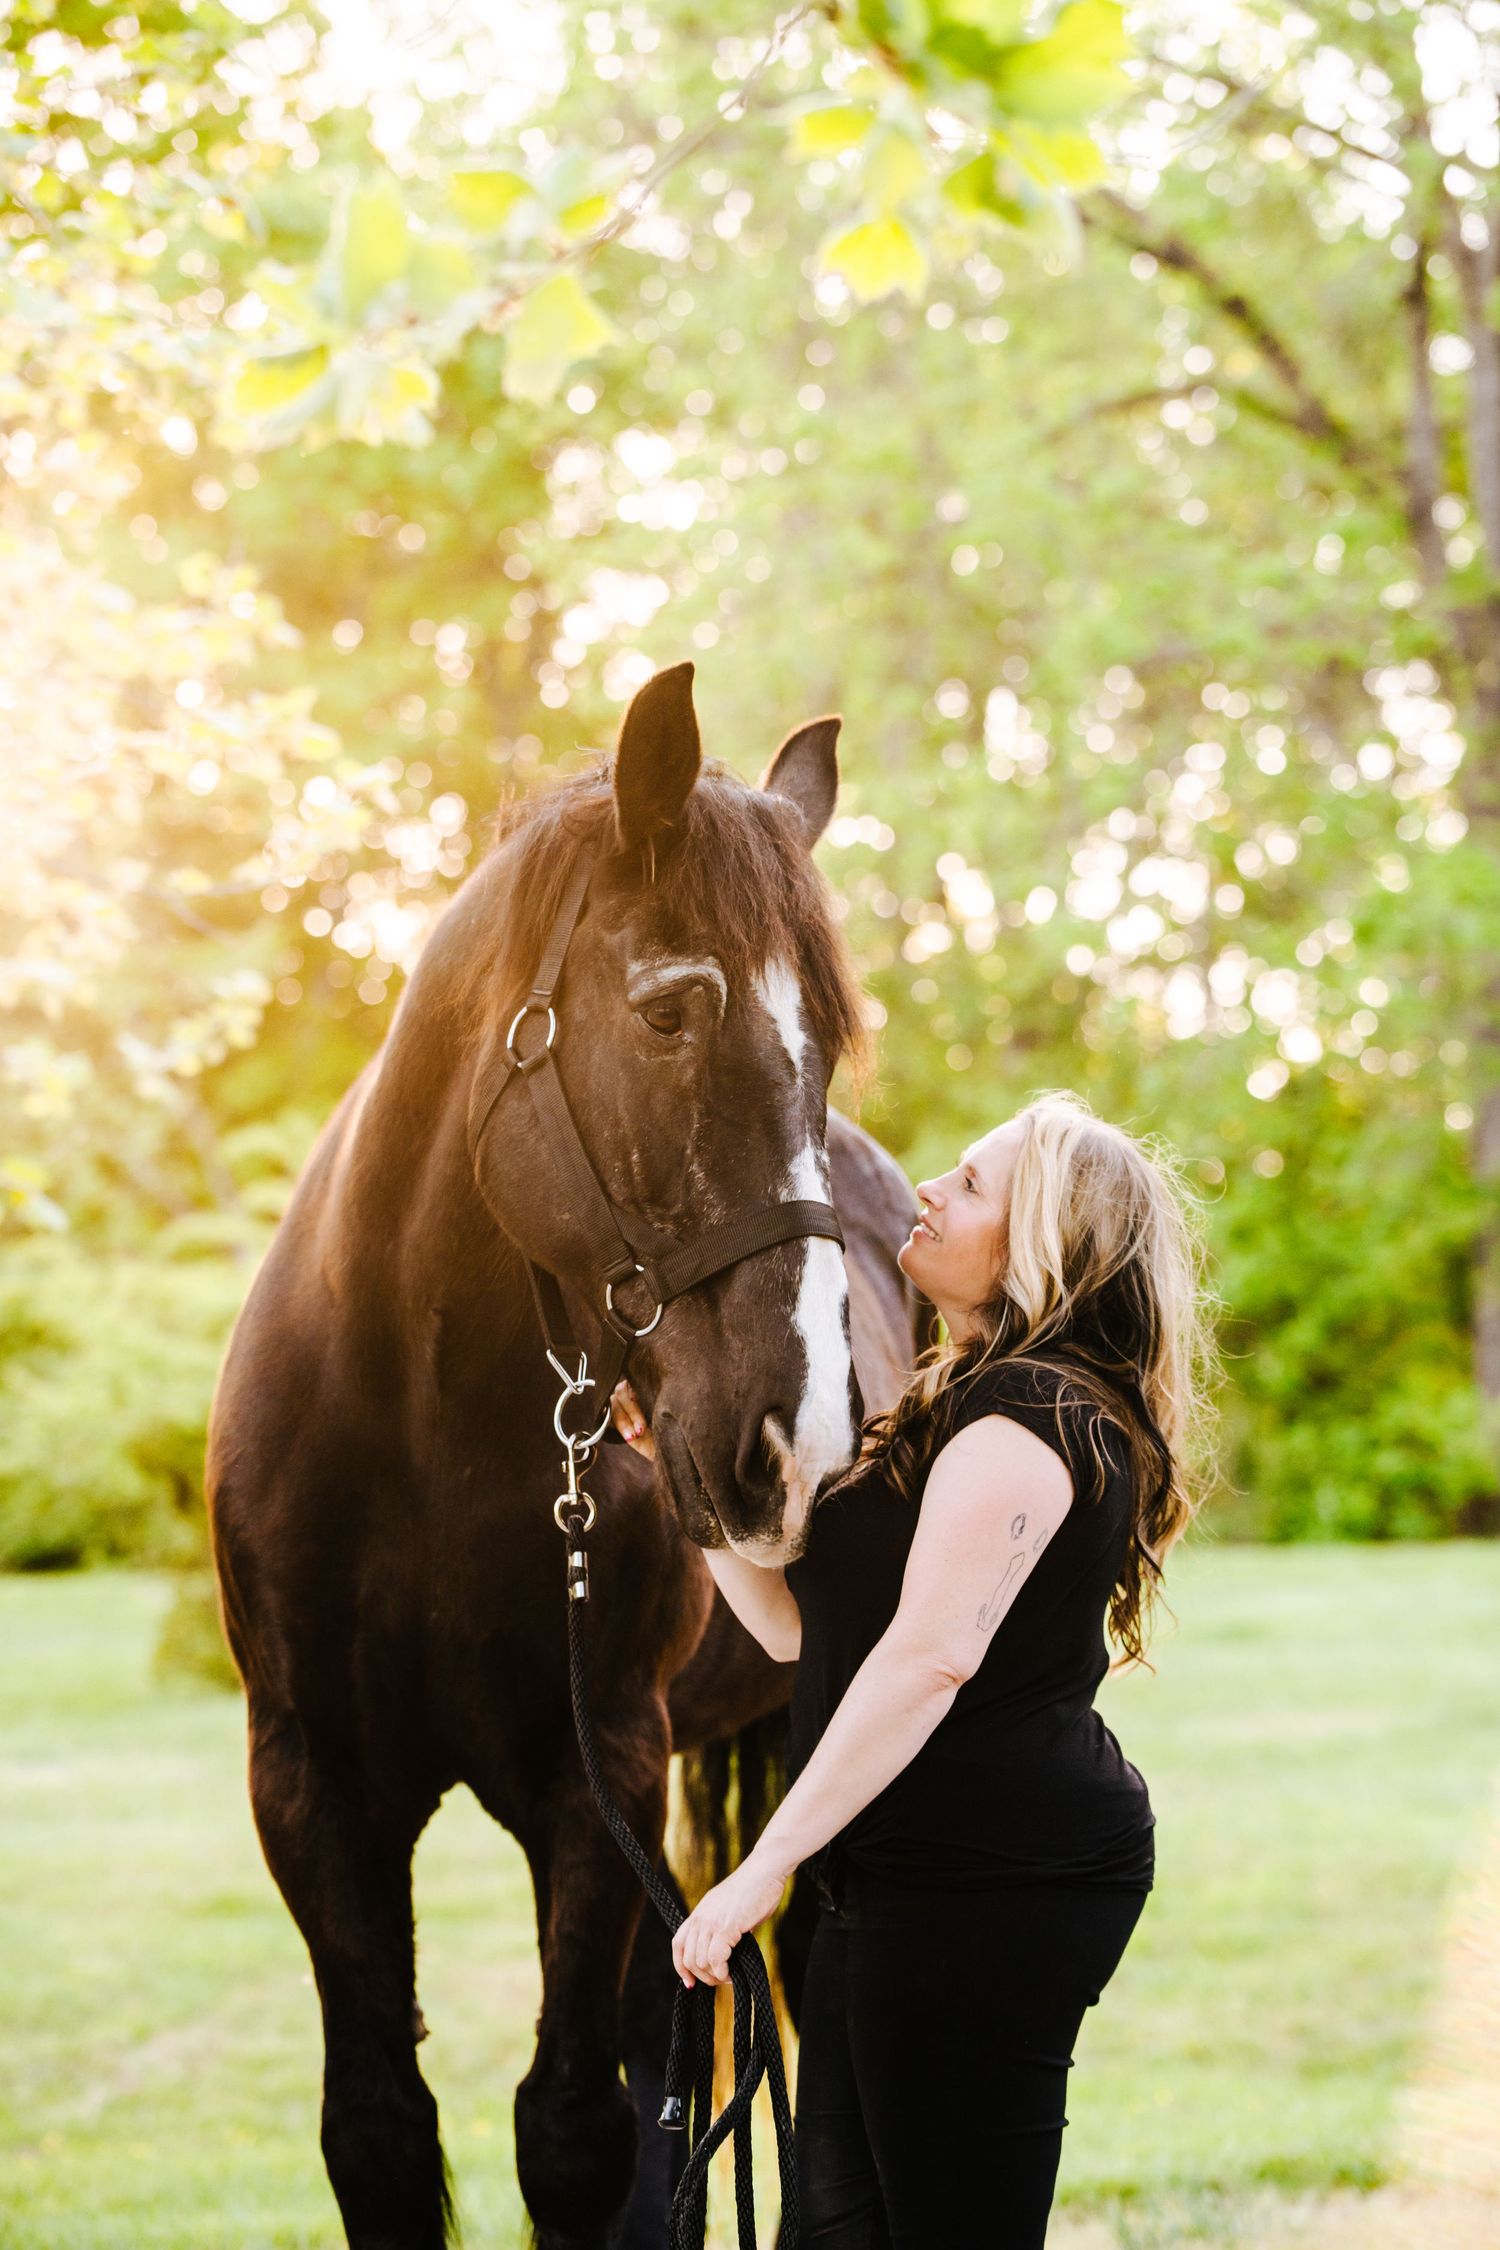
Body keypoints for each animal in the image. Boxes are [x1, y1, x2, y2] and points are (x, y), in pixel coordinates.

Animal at [206, 661, 925, 2250]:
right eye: (671, 1011)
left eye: (831, 1043)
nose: (803, 1447)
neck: (419, 1428)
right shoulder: (312, 1788)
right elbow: (382, 2127)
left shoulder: (600, 1777)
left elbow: (577, 2128)